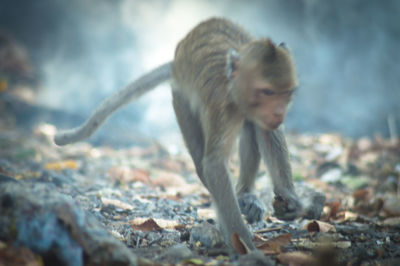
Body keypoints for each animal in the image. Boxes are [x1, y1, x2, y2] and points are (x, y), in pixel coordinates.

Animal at [54, 17, 304, 250]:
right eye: (268, 92)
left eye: (287, 92)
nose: (279, 112)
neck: (234, 90)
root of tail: (177, 61)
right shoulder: (222, 106)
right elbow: (214, 165)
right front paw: (246, 246)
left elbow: (269, 136)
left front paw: (289, 199)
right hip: (180, 98)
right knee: (204, 162)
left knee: (253, 131)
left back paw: (245, 196)